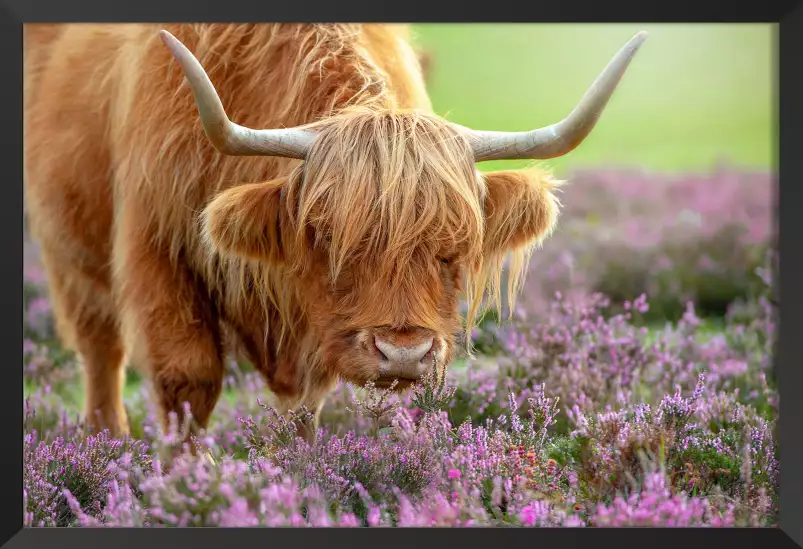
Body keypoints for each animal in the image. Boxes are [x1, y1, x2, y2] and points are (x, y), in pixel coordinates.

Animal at [23, 23, 648, 440]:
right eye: (327, 237)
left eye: (453, 247)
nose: (403, 353)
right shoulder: (158, 251)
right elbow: (187, 383)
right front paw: (184, 489)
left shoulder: (310, 325)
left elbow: (303, 404)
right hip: (68, 250)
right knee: (100, 350)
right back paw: (107, 446)